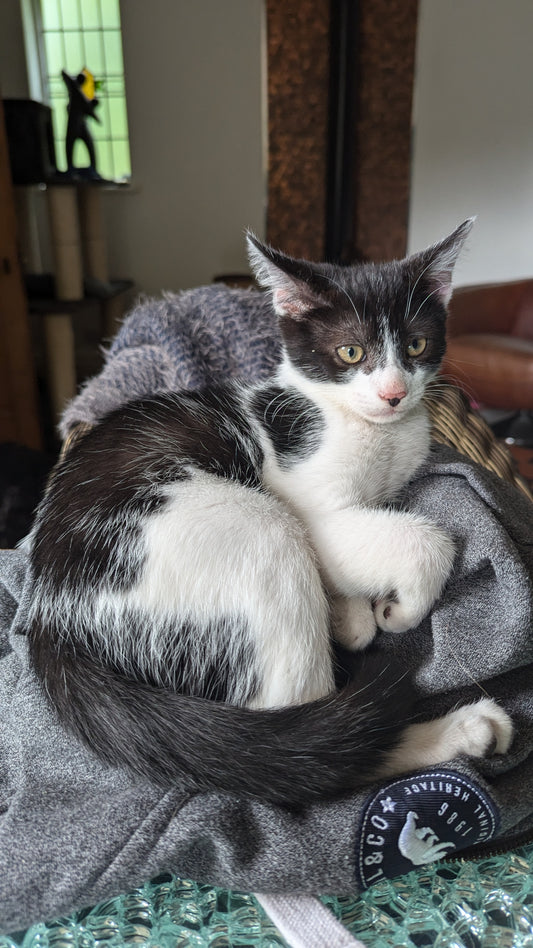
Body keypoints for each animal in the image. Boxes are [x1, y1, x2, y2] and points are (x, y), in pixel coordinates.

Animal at [28, 220, 512, 800]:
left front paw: (348, 614)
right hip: (256, 531)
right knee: (311, 753)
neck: (375, 429)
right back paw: (455, 729)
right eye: (351, 352)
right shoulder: (312, 503)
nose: (394, 393)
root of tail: (52, 620)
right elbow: (422, 541)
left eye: (417, 345)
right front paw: (399, 612)